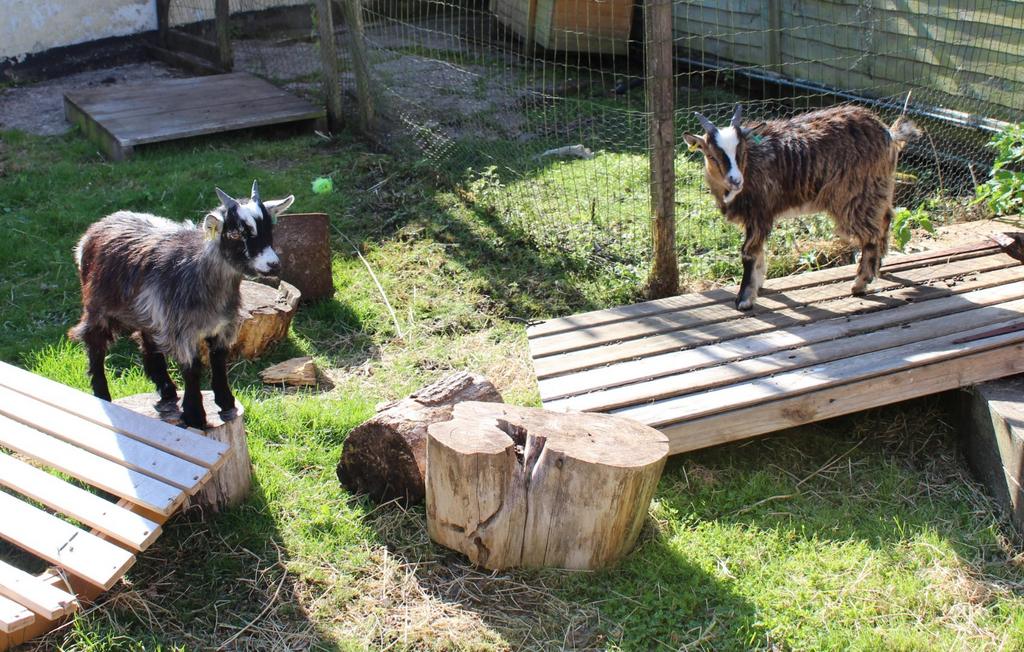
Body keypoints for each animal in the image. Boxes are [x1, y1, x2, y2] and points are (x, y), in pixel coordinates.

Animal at [69, 181, 294, 429]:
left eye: (269, 228)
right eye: (237, 233)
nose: (273, 265)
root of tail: (95, 229)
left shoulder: (222, 327)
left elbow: (218, 362)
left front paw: (226, 402)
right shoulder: (182, 331)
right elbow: (192, 369)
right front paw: (195, 415)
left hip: (149, 312)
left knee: (147, 342)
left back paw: (167, 390)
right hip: (98, 306)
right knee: (95, 343)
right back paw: (103, 395)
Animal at [683, 104, 920, 310]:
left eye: (742, 151)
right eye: (711, 155)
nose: (735, 180)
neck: (752, 165)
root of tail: (888, 133)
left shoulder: (759, 212)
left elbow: (749, 253)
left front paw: (745, 299)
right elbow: (759, 253)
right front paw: (759, 285)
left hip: (855, 197)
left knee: (870, 235)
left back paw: (860, 284)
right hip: (879, 189)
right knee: (886, 220)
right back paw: (879, 269)